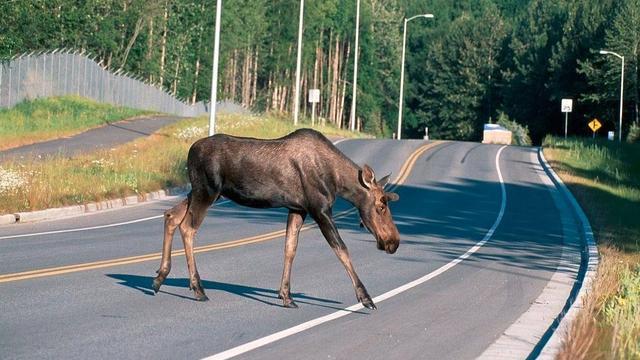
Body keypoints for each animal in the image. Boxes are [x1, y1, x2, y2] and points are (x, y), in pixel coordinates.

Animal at [152, 128, 398, 308]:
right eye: (380, 206)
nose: (393, 242)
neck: (337, 181)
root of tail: (189, 151)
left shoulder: (298, 209)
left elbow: (290, 248)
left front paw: (287, 296)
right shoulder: (319, 209)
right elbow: (341, 249)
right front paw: (366, 298)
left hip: (199, 191)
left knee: (171, 215)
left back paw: (160, 278)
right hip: (207, 191)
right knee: (187, 228)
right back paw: (197, 289)